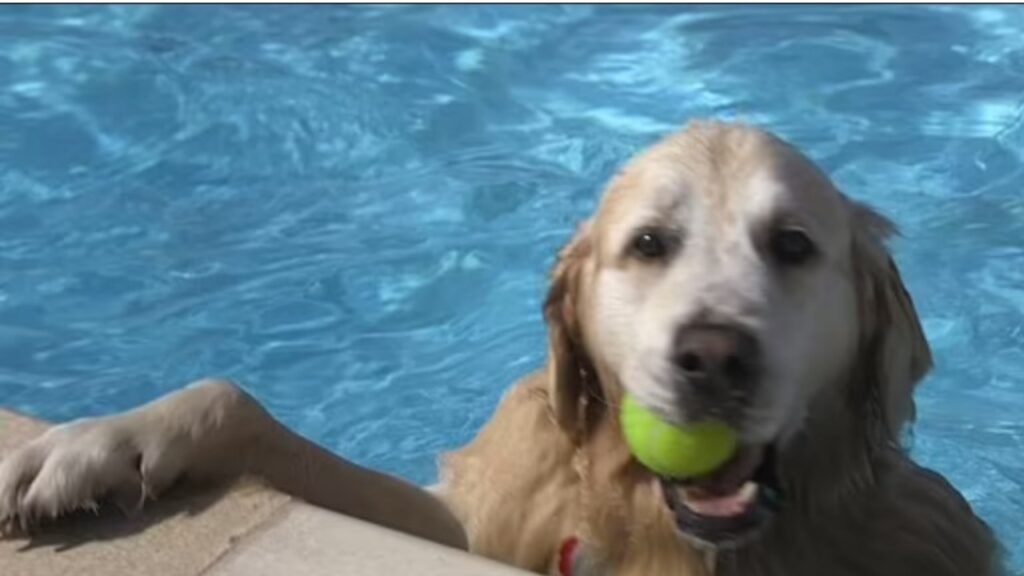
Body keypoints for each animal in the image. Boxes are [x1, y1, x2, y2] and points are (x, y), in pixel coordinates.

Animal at [0, 118, 999, 569]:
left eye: (792, 245)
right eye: (649, 244)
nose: (714, 356)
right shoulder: (481, 520)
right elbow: (237, 402)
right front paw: (102, 442)